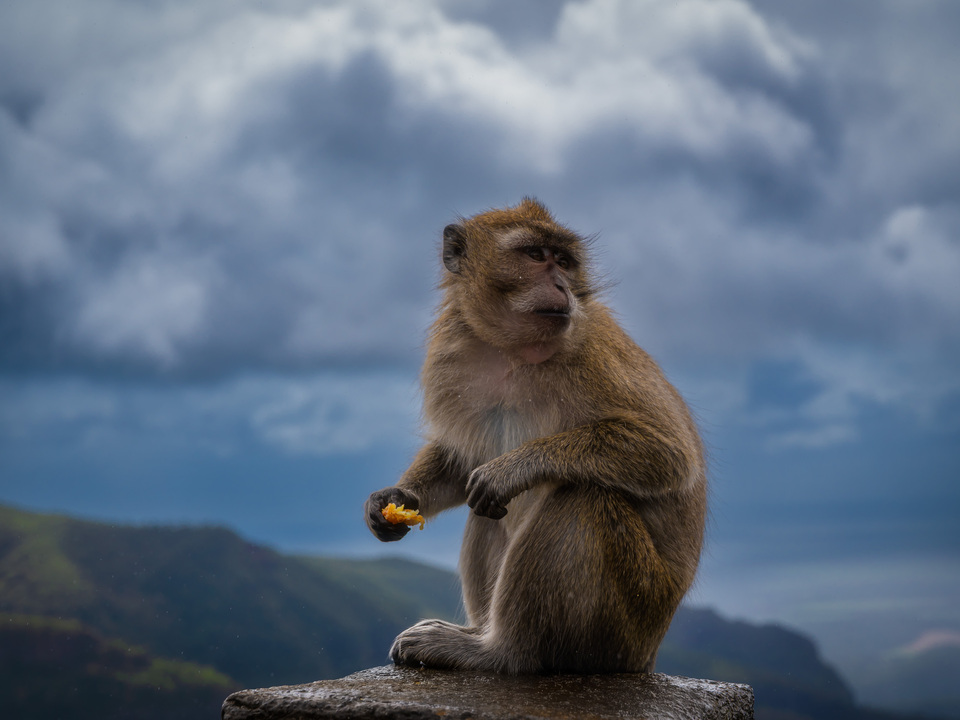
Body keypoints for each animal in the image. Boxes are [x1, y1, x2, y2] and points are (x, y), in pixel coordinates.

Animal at [364, 198, 706, 674]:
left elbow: (669, 454)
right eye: (535, 255)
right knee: (488, 511)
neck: (514, 352)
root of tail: (648, 654)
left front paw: (515, 467)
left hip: (630, 618)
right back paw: (478, 633)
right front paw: (395, 499)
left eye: (563, 260)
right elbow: (460, 459)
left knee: (583, 498)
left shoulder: (595, 357)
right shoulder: (453, 360)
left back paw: (497, 651)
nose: (561, 284)